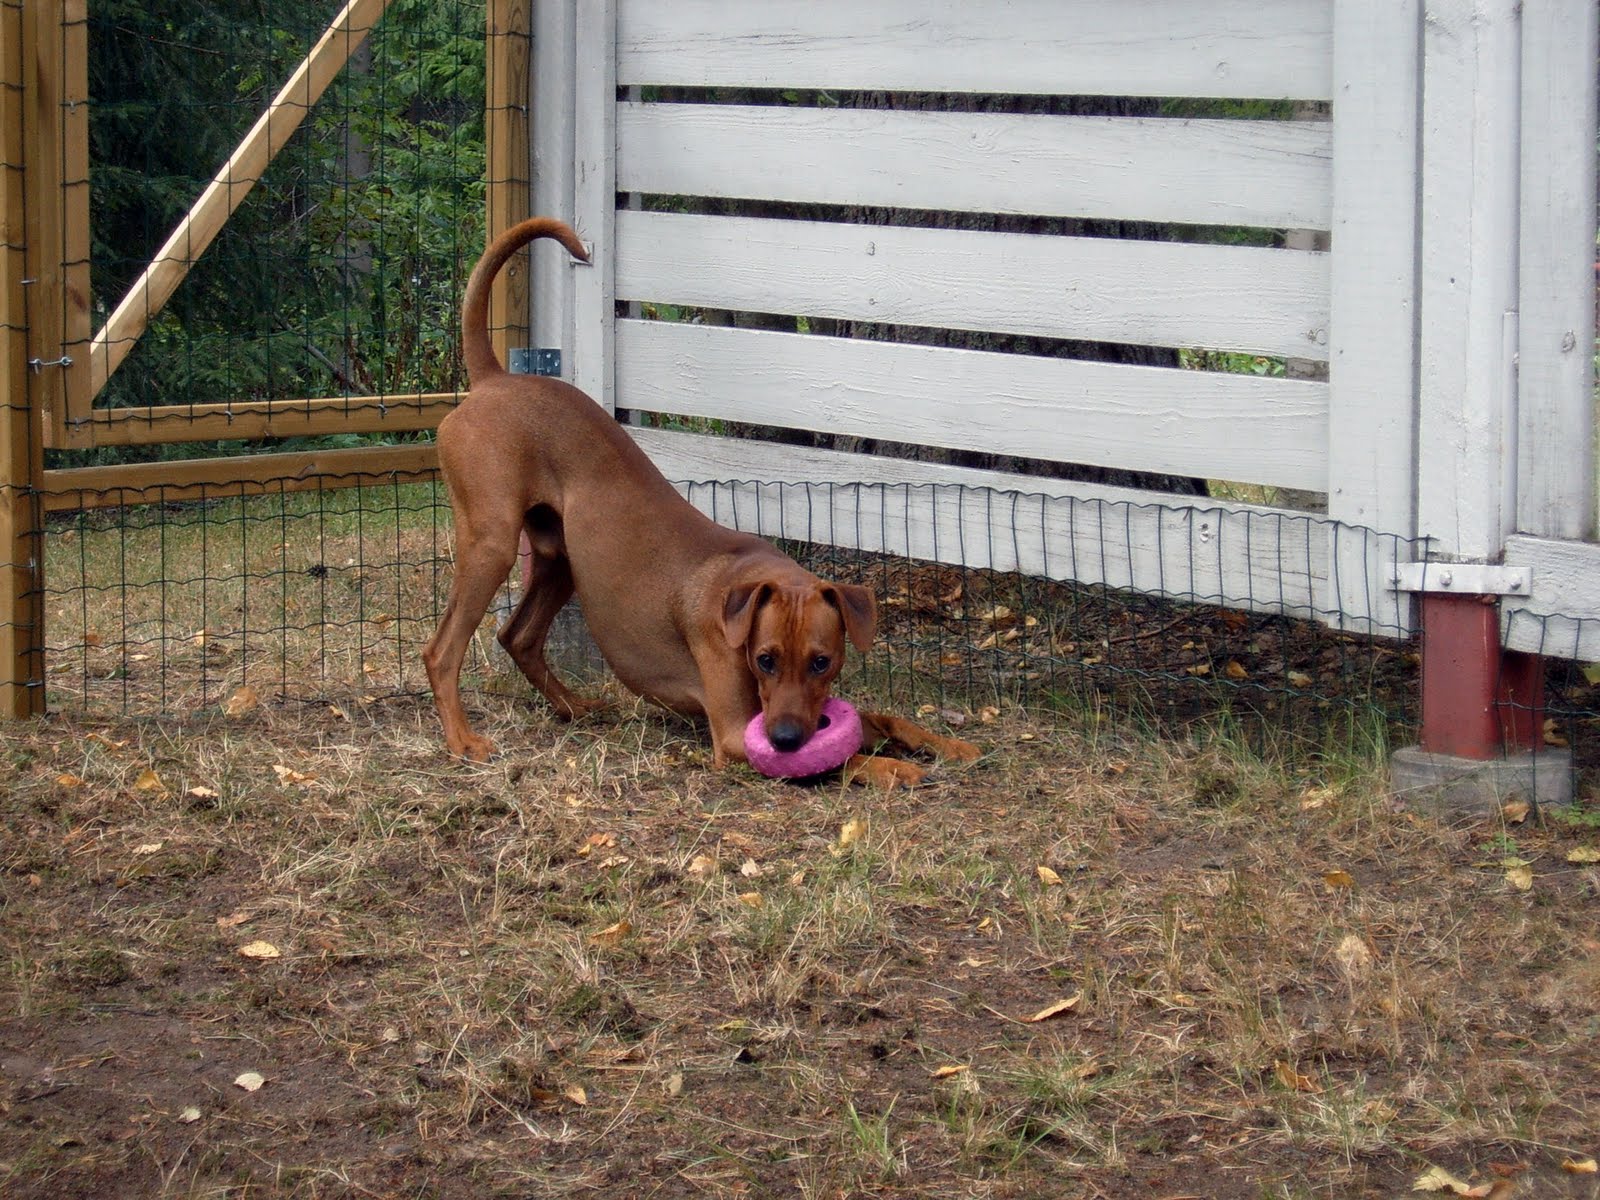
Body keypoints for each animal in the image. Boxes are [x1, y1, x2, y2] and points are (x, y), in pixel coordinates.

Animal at [423, 217, 979, 787]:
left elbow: (885, 719)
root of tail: (494, 379)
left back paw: (574, 707)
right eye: (765, 659)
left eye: (822, 662)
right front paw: (894, 768)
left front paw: (948, 744)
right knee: (441, 651)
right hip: (492, 546)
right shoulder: (737, 733)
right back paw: (463, 740)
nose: (785, 739)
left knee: (518, 637)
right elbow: (838, 758)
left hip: (560, 563)